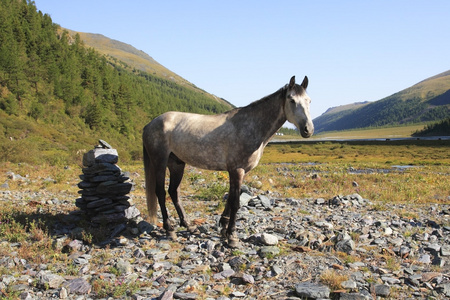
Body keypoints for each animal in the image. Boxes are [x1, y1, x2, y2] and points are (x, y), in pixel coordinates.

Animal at [143, 76, 312, 247]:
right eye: (291, 100)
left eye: (309, 100)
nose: (308, 130)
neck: (251, 126)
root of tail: (150, 124)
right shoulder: (237, 170)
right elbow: (236, 202)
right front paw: (232, 236)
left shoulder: (236, 171)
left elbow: (230, 199)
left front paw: (223, 227)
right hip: (160, 162)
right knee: (161, 192)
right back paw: (169, 229)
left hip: (177, 164)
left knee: (174, 192)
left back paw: (189, 226)